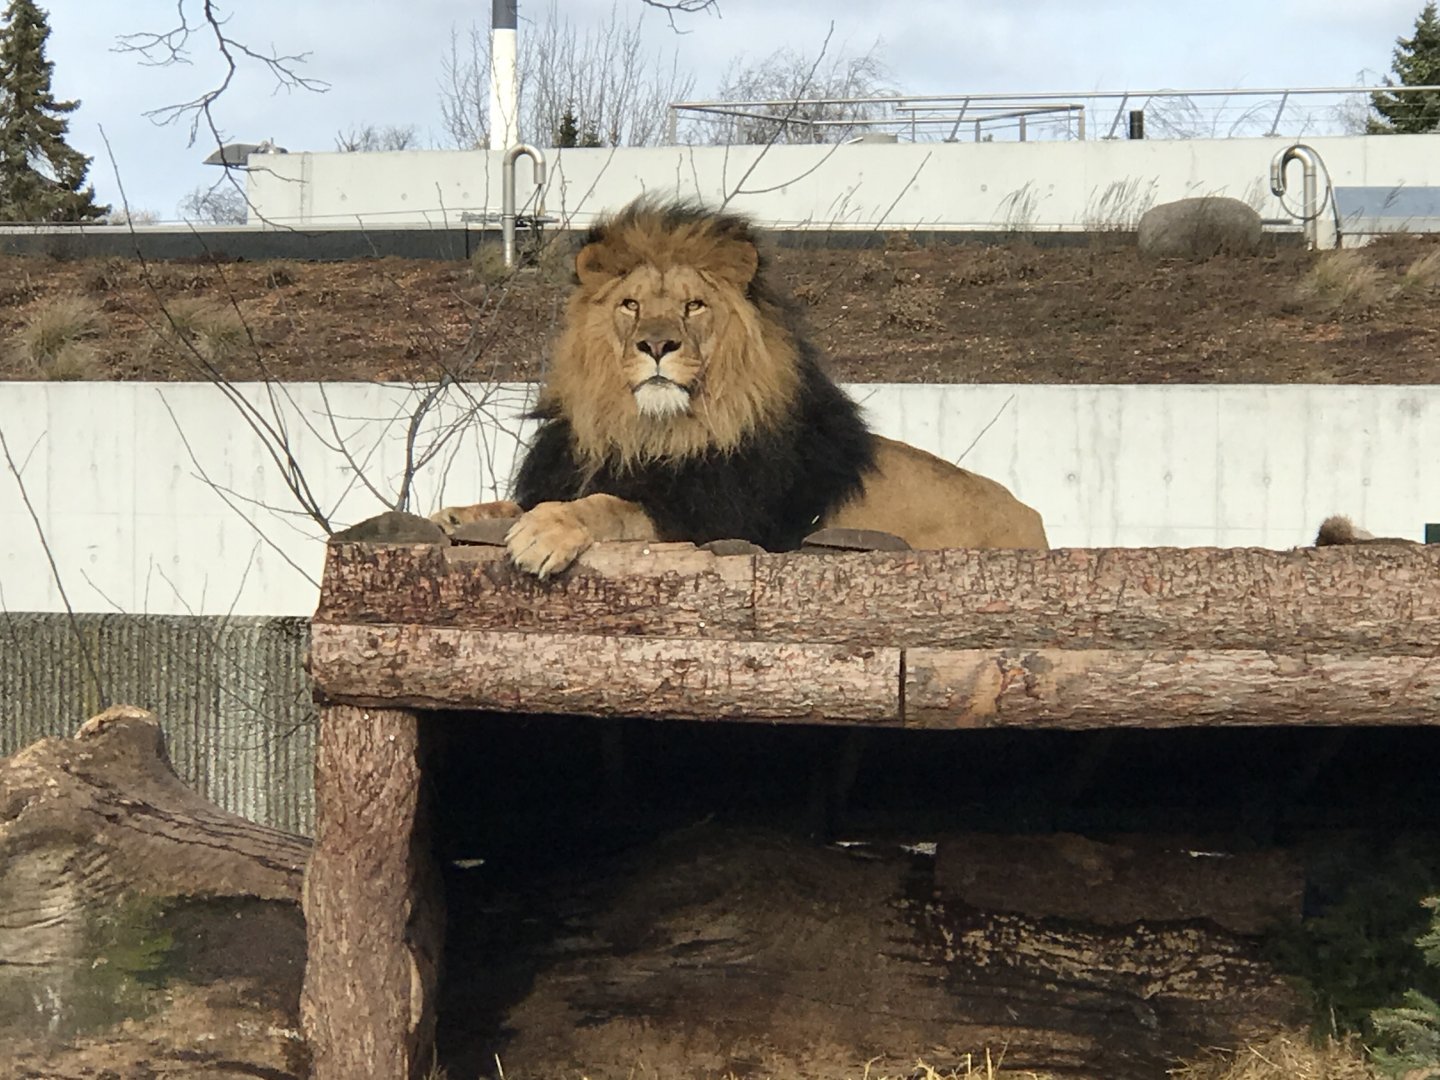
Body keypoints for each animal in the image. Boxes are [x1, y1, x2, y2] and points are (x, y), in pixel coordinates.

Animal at [432, 198, 1048, 578]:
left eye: (693, 306)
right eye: (631, 305)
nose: (657, 345)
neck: (649, 431)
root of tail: (1034, 519)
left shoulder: (717, 520)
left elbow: (612, 506)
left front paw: (549, 528)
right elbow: (514, 501)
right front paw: (457, 515)